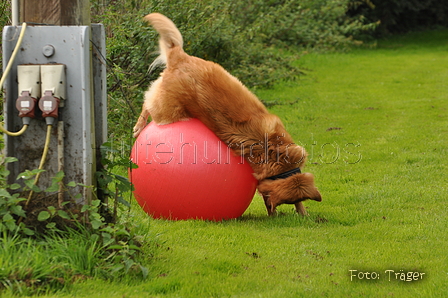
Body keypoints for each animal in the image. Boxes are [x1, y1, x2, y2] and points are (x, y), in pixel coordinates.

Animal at [133, 12, 322, 215]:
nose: (274, 213)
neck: (278, 153)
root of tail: (180, 56)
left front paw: (303, 213)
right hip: (169, 112)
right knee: (147, 103)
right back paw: (138, 126)